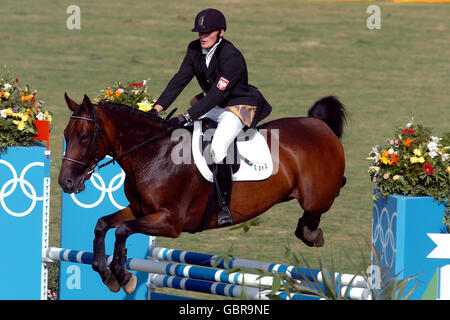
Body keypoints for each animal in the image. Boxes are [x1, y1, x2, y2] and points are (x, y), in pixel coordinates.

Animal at [59, 92, 348, 296]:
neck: (152, 153)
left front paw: (124, 277)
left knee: (322, 203)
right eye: (65, 135)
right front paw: (108, 275)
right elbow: (102, 224)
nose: (66, 182)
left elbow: (121, 231)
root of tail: (316, 123)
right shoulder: (141, 210)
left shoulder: (170, 222)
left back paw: (312, 233)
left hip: (316, 194)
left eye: (84, 137)